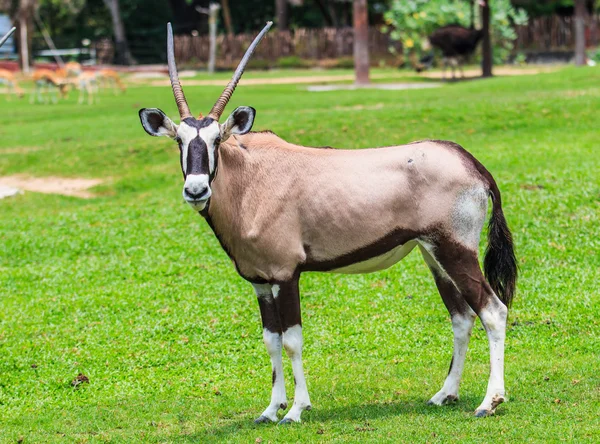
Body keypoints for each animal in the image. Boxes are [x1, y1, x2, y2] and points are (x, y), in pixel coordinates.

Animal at [137, 20, 516, 424]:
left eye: (215, 140)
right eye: (179, 140)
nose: (195, 190)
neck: (251, 179)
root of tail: (471, 163)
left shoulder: (286, 274)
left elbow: (291, 340)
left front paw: (296, 409)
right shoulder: (260, 281)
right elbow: (271, 340)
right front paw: (271, 409)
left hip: (455, 250)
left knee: (493, 311)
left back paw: (490, 401)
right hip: (434, 255)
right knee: (462, 317)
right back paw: (445, 394)